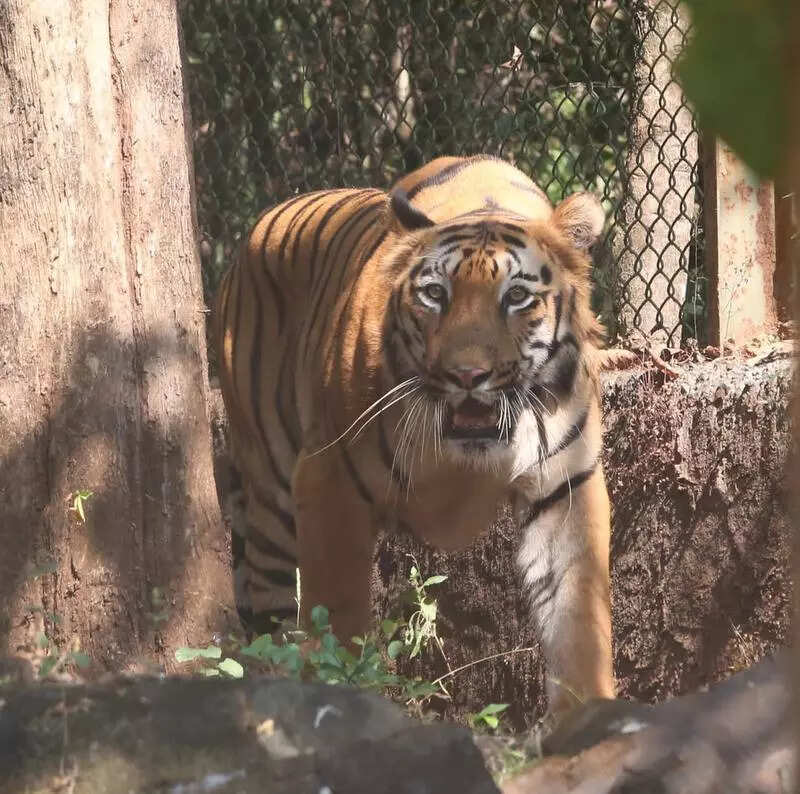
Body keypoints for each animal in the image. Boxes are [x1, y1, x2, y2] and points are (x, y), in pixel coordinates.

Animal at [214, 154, 615, 717]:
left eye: (516, 297)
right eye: (434, 295)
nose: (467, 374)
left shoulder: (565, 488)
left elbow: (580, 622)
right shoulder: (328, 480)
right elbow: (337, 618)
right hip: (272, 498)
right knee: (270, 626)